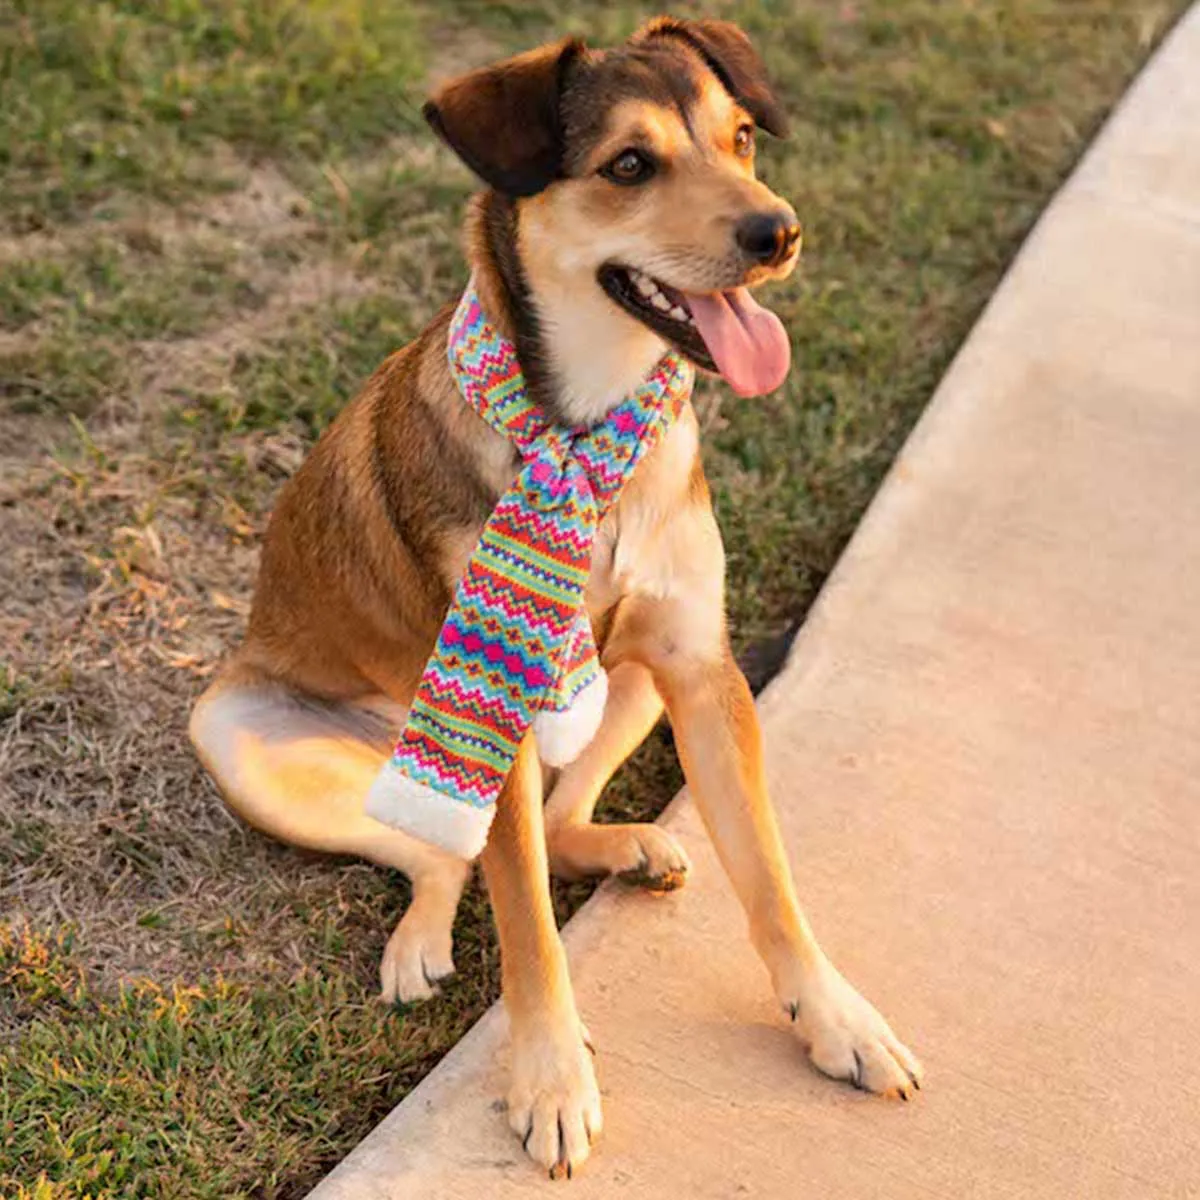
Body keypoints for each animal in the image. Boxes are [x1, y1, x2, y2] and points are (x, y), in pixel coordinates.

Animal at [189, 16, 916, 1180]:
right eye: (628, 166)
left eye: (742, 137)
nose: (780, 232)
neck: (585, 427)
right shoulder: (494, 717)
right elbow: (528, 924)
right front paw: (551, 1080)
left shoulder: (703, 673)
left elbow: (769, 878)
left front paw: (836, 1018)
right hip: (242, 739)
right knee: (442, 854)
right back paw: (421, 941)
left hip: (635, 683)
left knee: (554, 816)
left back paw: (626, 846)